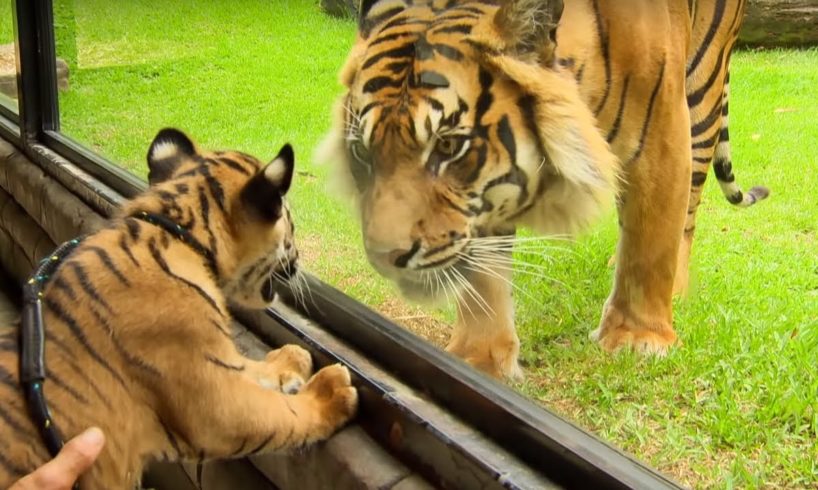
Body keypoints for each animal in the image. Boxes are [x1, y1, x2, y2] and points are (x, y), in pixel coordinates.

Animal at [0, 130, 356, 490]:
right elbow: (284, 414)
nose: (298, 262)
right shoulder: (218, 404)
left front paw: (292, 358)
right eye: (291, 224)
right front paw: (331, 392)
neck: (181, 232)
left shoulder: (215, 357)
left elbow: (251, 366)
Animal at [318, 0, 764, 378]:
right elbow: (484, 272)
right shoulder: (486, 195)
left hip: (703, 94)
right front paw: (480, 358)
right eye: (362, 152)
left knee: (685, 215)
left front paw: (638, 339)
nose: (385, 258)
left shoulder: (663, 134)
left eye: (447, 145)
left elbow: (651, 242)